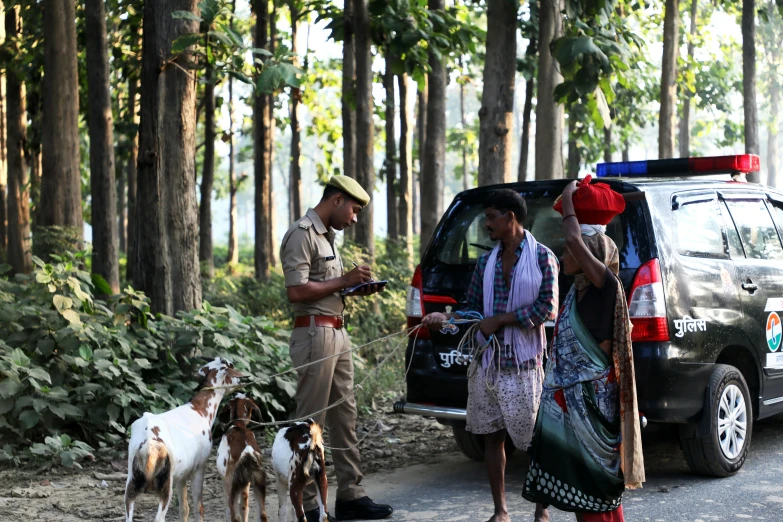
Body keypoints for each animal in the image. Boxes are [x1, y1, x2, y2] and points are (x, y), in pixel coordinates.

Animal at [125, 356, 245, 520]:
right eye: (231, 366)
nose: (241, 383)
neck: (200, 411)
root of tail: (149, 445)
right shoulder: (200, 467)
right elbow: (198, 508)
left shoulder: (181, 475)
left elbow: (184, 509)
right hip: (165, 485)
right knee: (159, 518)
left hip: (132, 480)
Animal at [217, 392, 270, 520]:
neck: (238, 425)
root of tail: (248, 453)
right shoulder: (246, 484)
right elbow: (244, 508)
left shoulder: (224, 481)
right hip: (258, 483)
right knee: (262, 514)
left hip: (232, 485)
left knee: (234, 516)